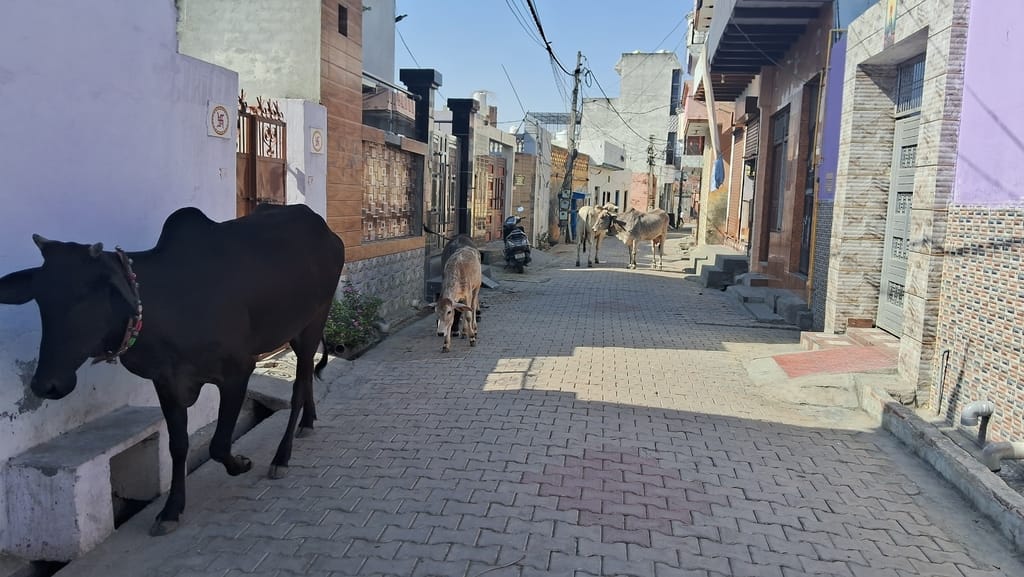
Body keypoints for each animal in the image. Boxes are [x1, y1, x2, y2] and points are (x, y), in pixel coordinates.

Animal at [0, 203, 345, 536]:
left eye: (86, 295)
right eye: (41, 299)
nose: (47, 384)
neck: (164, 306)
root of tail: (327, 232)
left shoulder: (238, 370)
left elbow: (219, 444)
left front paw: (241, 463)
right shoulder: (166, 382)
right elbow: (178, 445)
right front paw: (171, 510)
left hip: (311, 325)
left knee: (299, 387)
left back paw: (282, 456)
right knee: (307, 382)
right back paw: (308, 422)